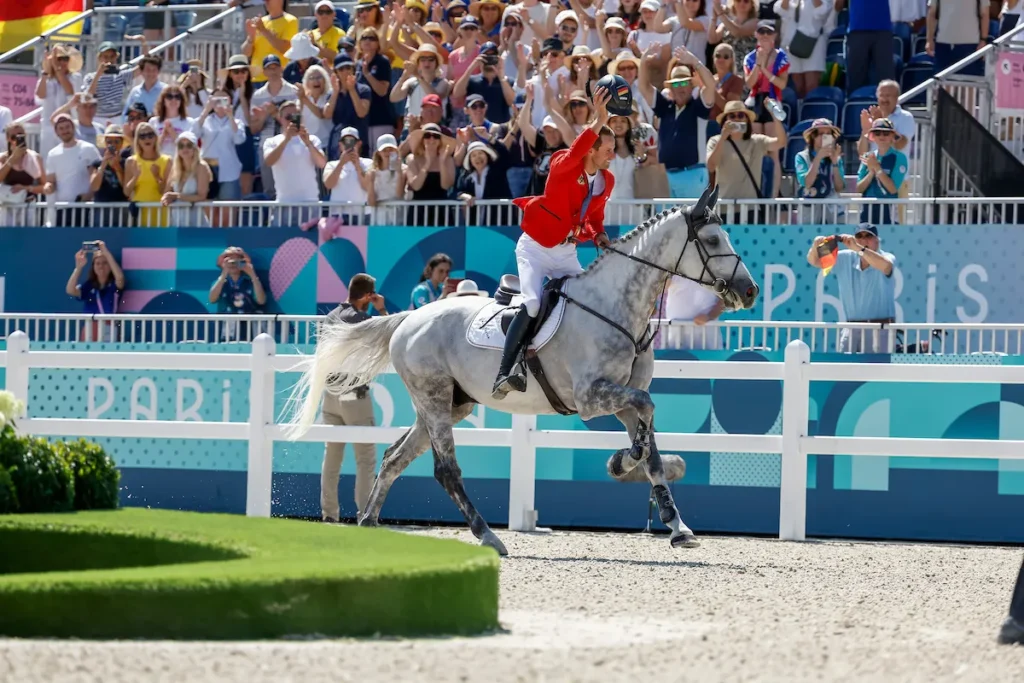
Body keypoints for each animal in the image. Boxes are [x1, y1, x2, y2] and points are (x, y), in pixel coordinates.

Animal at [284, 187, 757, 557]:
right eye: (712, 238)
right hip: (434, 398)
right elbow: (648, 410)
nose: (749, 290)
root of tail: (408, 319)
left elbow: (652, 442)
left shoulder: (621, 397)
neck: (616, 308)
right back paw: (488, 537)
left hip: (449, 405)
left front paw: (676, 524)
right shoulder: (591, 397)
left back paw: (369, 526)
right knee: (446, 470)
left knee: (395, 458)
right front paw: (625, 461)